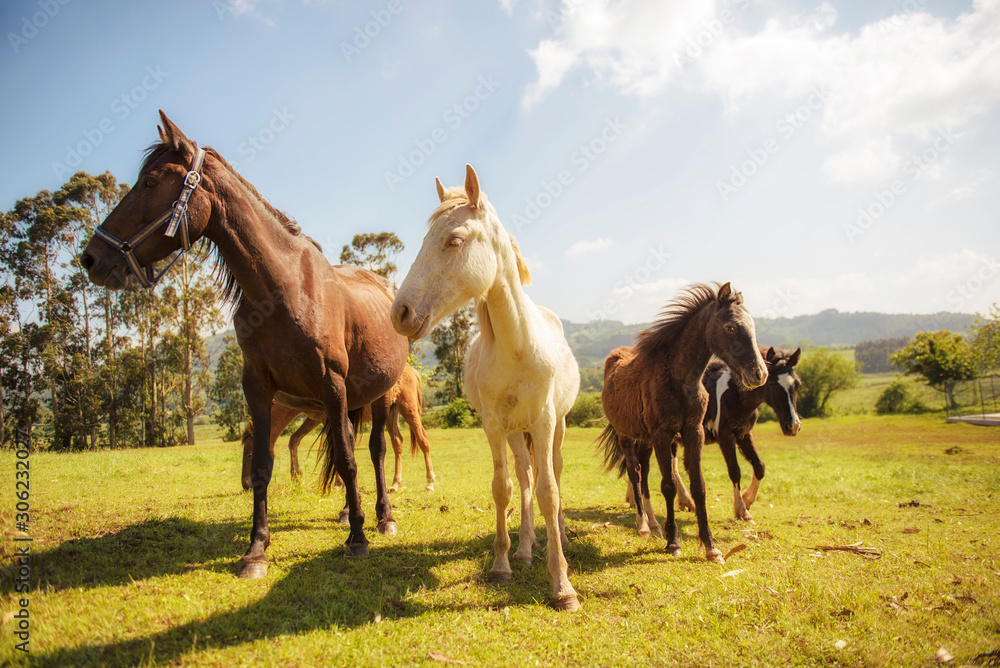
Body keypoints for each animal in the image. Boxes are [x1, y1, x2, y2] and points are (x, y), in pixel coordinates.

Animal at [80, 111, 408, 577]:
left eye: (149, 182)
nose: (91, 258)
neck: (284, 289)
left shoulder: (331, 384)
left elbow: (348, 458)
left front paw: (358, 540)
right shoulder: (258, 387)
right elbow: (264, 465)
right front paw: (256, 549)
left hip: (380, 395)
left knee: (376, 450)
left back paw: (381, 517)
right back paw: (350, 512)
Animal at [240, 365, 436, 492]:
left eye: (249, 455)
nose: (246, 485)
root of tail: (413, 371)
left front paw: (337, 482)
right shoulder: (313, 419)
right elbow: (293, 440)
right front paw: (296, 476)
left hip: (408, 407)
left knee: (423, 440)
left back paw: (430, 482)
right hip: (391, 413)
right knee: (398, 443)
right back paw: (395, 484)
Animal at [390, 165, 582, 612]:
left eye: (454, 240)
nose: (399, 312)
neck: (516, 346)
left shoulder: (545, 421)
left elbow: (550, 492)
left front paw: (562, 585)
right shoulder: (495, 426)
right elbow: (504, 489)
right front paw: (501, 565)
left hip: (557, 428)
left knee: (553, 473)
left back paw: (561, 536)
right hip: (515, 433)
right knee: (525, 477)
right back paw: (526, 548)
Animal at [597, 283, 767, 563]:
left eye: (753, 325)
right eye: (731, 326)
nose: (760, 373)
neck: (680, 379)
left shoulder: (692, 432)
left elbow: (698, 487)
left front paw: (711, 546)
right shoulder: (663, 434)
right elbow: (668, 486)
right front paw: (673, 543)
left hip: (645, 440)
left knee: (644, 474)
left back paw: (654, 524)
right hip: (626, 436)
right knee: (634, 472)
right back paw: (643, 524)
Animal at [626, 346, 802, 522]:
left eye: (798, 384)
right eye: (772, 384)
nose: (793, 426)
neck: (735, 394)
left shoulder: (744, 434)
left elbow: (759, 467)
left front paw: (747, 500)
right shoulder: (725, 436)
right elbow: (734, 471)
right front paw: (741, 509)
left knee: (670, 467)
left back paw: (683, 501)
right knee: (636, 464)